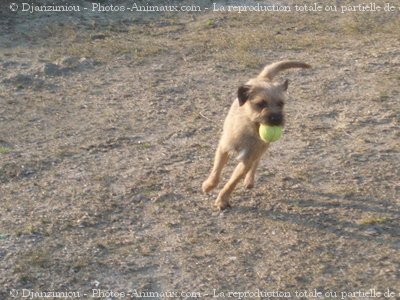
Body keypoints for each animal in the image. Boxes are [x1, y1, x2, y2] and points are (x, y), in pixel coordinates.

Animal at [203, 60, 310, 211]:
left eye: (281, 104)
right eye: (260, 104)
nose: (276, 119)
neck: (248, 129)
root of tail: (263, 78)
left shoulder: (247, 160)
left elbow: (232, 182)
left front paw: (222, 199)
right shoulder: (223, 148)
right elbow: (216, 171)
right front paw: (209, 185)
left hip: (263, 147)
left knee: (257, 162)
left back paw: (249, 180)